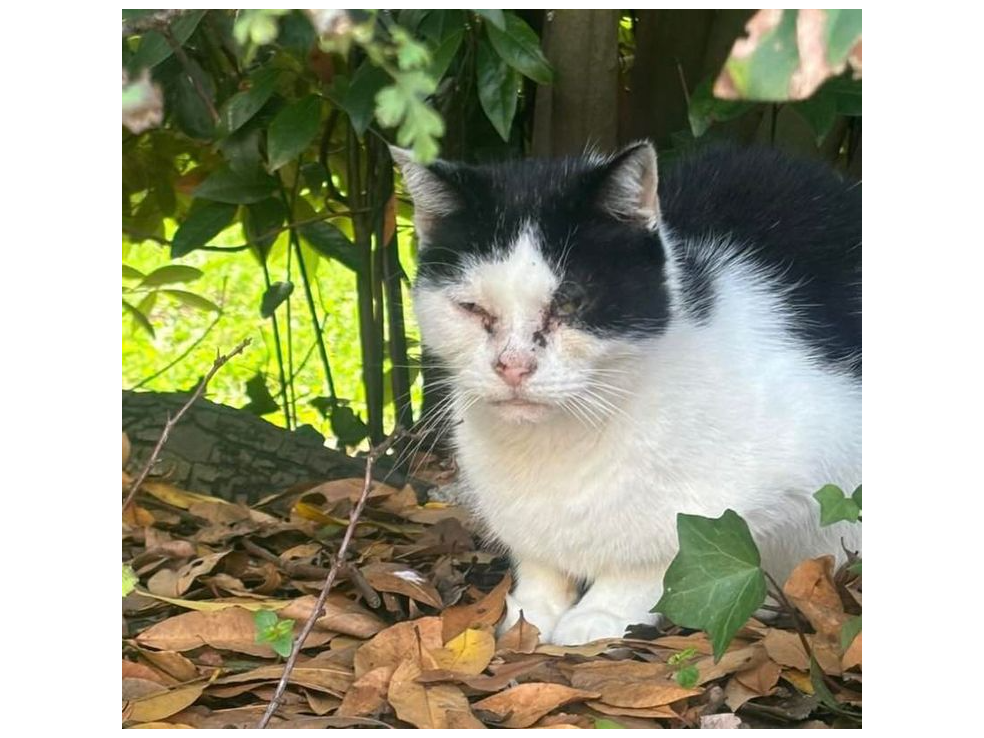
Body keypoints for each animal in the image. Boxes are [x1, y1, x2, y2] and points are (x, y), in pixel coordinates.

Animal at [392, 141, 860, 640]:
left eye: (570, 303)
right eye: (471, 307)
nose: (513, 366)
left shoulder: (812, 451)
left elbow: (668, 552)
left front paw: (602, 614)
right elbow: (538, 559)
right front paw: (530, 613)